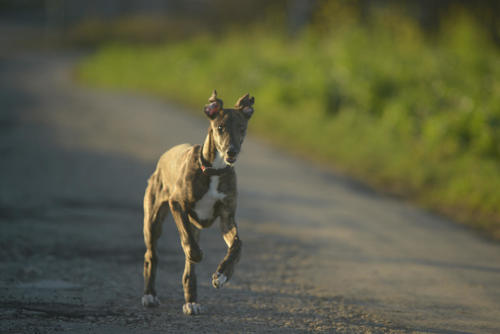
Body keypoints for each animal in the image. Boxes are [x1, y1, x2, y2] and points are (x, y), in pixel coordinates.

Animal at [143, 90, 256, 314]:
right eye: (220, 127)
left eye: (242, 128)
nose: (231, 151)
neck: (214, 170)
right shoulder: (177, 204)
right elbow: (188, 241)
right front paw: (197, 254)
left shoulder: (227, 218)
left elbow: (237, 245)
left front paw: (222, 275)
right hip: (153, 219)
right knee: (152, 255)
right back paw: (150, 295)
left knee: (188, 270)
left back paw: (191, 301)